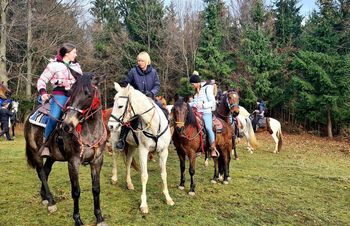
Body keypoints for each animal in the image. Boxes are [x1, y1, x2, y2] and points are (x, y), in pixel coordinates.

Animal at [23, 73, 107, 225]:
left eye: (88, 94)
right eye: (71, 92)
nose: (68, 124)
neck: (90, 131)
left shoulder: (97, 160)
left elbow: (96, 189)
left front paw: (99, 217)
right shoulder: (73, 162)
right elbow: (76, 191)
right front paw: (77, 219)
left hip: (52, 156)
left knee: (46, 170)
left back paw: (45, 197)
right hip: (35, 152)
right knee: (41, 173)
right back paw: (51, 202)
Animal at [108, 83, 174, 214]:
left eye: (120, 105)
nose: (110, 125)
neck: (154, 125)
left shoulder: (163, 152)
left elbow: (163, 174)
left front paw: (168, 198)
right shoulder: (143, 151)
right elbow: (144, 176)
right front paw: (144, 204)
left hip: (132, 146)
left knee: (128, 162)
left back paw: (129, 184)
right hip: (115, 143)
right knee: (115, 157)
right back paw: (114, 178)